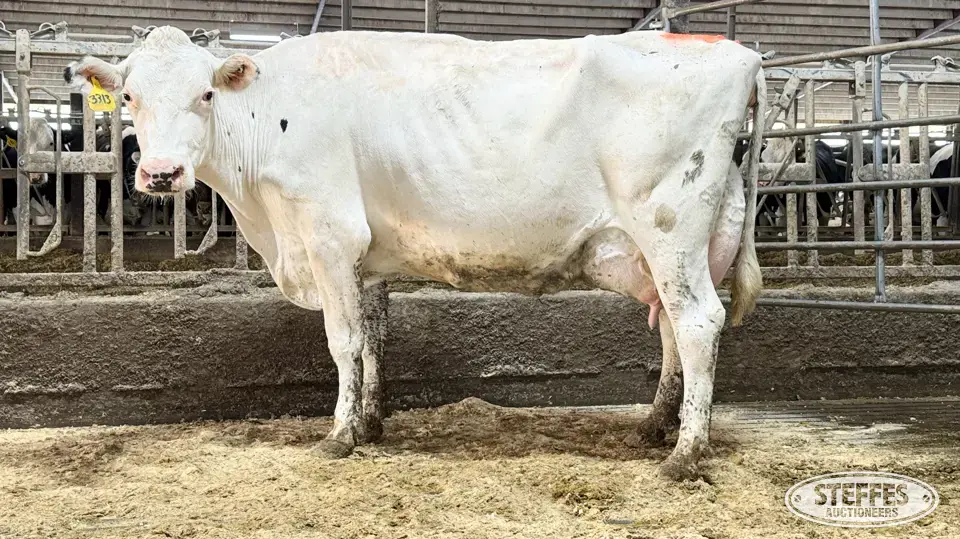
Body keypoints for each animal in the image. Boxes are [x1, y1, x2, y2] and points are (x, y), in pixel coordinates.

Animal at [64, 26, 766, 481]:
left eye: (205, 95)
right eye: (127, 97)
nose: (160, 174)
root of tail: (739, 54)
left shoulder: (328, 233)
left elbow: (343, 342)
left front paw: (339, 436)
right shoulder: (366, 254)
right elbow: (374, 336)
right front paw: (371, 422)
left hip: (669, 227)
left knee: (698, 324)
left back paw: (685, 454)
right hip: (670, 247)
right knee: (673, 326)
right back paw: (655, 427)